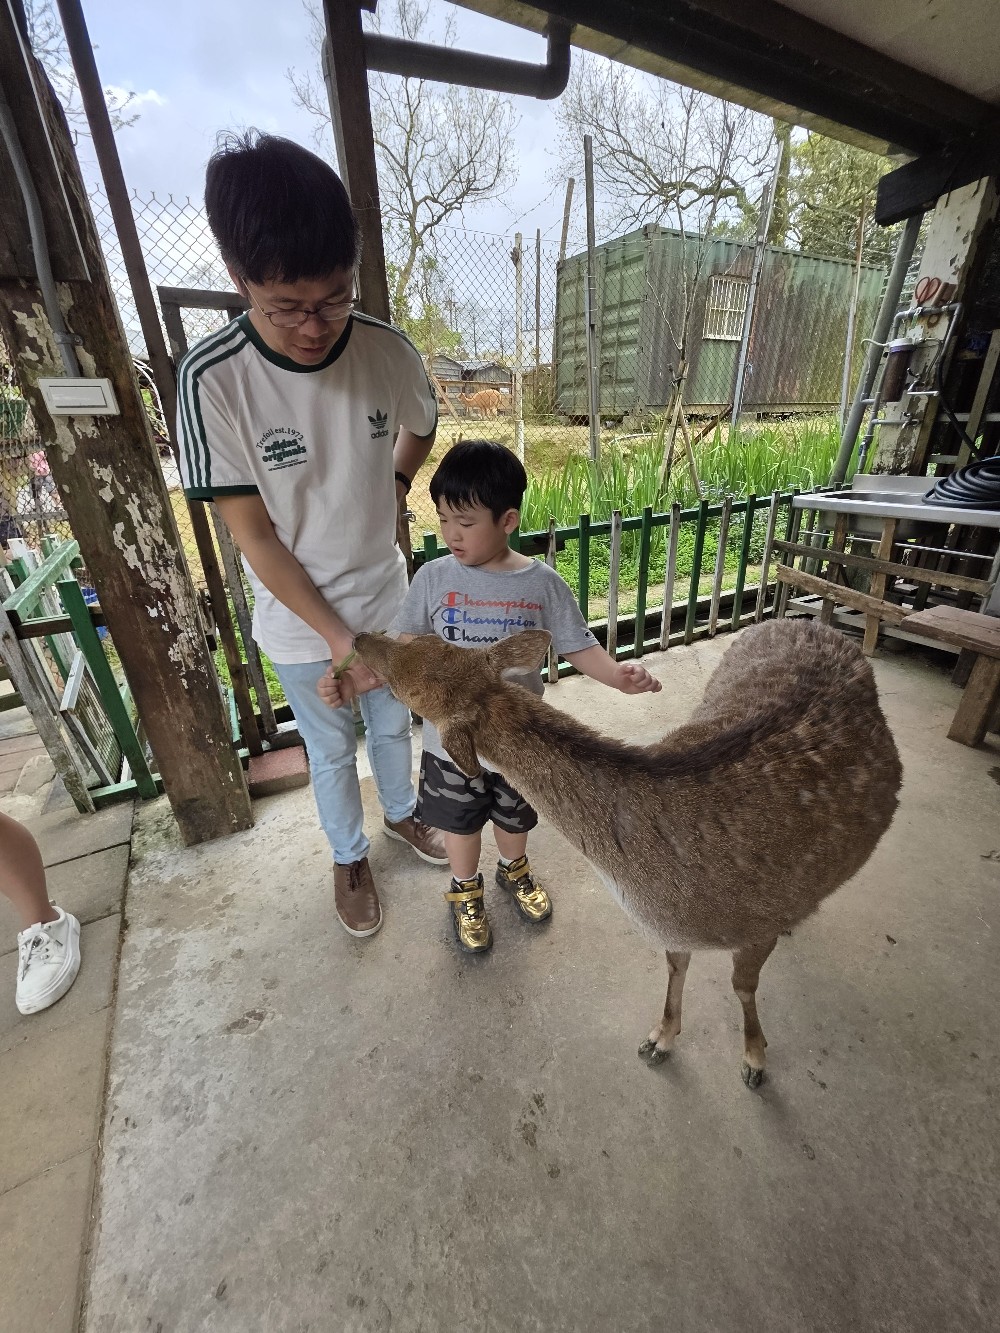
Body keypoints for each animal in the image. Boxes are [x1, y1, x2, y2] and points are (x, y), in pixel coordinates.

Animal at [354, 618, 902, 1089]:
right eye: (421, 641)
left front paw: (754, 1060)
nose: (360, 638)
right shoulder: (672, 927)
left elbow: (743, 986)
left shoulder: (757, 919)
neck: (647, 883)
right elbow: (676, 965)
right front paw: (660, 1039)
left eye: (401, 686)